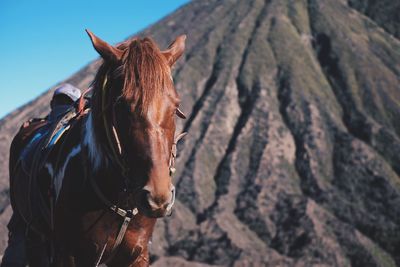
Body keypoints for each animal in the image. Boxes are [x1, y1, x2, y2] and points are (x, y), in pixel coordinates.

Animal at [6, 30, 188, 266]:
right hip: (30, 232)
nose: (158, 198)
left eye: (175, 107)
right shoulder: (68, 254)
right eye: (120, 105)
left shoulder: (137, 255)